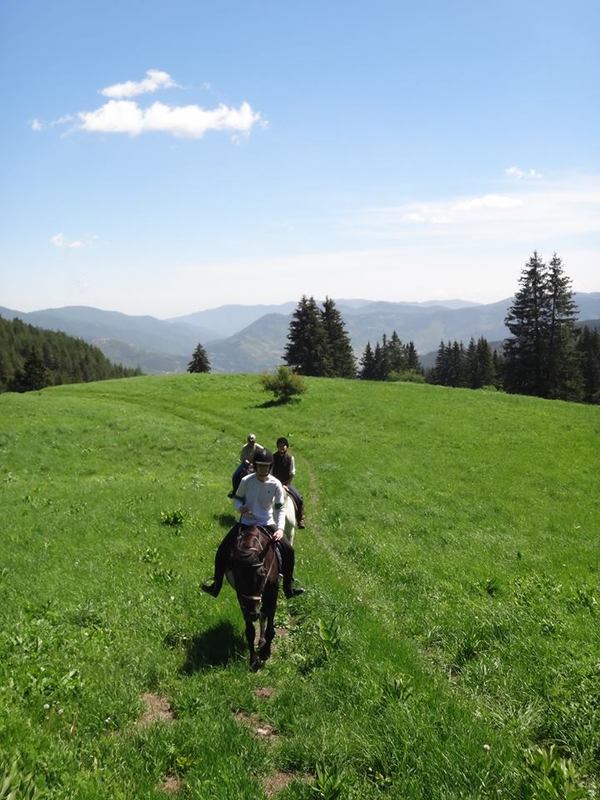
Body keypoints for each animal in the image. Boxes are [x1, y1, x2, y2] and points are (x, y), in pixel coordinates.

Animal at [226, 524, 280, 668]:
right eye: (238, 577)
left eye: (262, 575)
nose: (252, 614)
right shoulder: (242, 598)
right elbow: (250, 631)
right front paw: (253, 659)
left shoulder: (272, 593)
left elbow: (269, 626)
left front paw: (266, 653)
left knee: (264, 613)